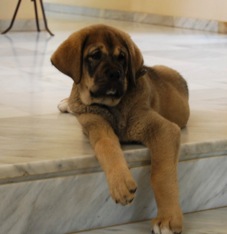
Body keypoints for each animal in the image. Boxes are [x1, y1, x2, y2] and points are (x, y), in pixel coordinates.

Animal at [51, 24, 190, 234]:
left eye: (122, 57)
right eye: (95, 55)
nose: (115, 74)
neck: (112, 107)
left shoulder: (163, 129)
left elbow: (162, 174)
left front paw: (168, 218)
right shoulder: (95, 123)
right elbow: (106, 146)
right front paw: (120, 183)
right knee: (75, 99)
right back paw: (67, 102)